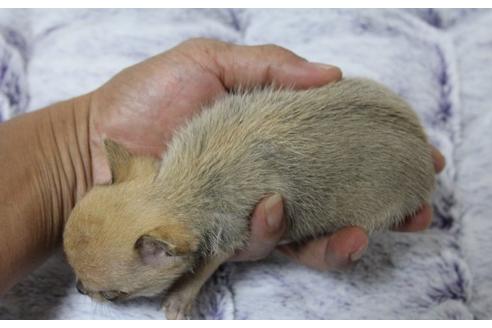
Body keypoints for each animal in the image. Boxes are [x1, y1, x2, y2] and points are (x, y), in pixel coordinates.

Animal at [64, 78, 434, 320]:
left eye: (114, 295)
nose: (80, 289)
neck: (185, 187)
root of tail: (425, 152)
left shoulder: (230, 232)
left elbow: (204, 267)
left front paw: (180, 299)